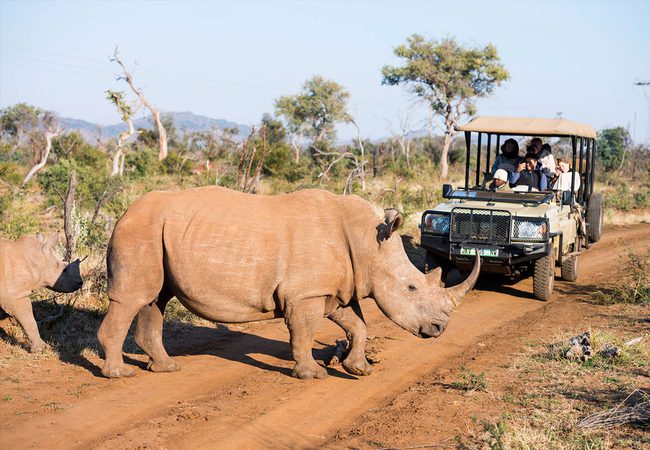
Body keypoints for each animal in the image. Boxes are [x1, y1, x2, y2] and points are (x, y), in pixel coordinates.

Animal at [98, 186, 480, 379]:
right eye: (411, 288)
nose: (439, 329)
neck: (367, 243)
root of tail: (125, 211)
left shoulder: (331, 290)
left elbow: (357, 324)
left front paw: (359, 369)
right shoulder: (306, 293)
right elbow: (305, 332)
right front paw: (311, 374)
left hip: (157, 231)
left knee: (154, 299)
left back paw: (166, 368)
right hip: (140, 230)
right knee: (133, 298)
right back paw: (120, 374)